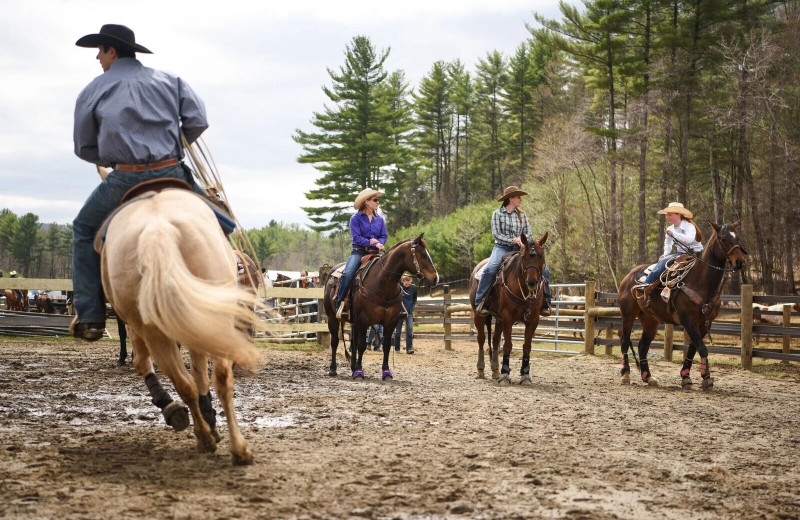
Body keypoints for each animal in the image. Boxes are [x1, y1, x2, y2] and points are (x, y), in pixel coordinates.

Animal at [322, 235, 440, 378]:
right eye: (423, 255)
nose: (435, 278)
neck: (382, 282)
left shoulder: (390, 322)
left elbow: (386, 346)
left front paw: (386, 371)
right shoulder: (363, 320)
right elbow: (362, 345)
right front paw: (359, 372)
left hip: (354, 322)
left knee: (353, 343)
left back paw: (352, 367)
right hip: (332, 316)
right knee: (335, 341)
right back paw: (333, 369)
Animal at [472, 234, 548, 384]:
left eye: (541, 256)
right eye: (523, 257)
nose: (532, 282)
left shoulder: (533, 319)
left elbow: (527, 346)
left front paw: (525, 375)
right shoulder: (507, 317)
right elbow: (508, 345)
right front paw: (505, 374)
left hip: (499, 319)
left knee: (495, 340)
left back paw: (495, 371)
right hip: (479, 315)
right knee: (481, 338)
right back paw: (481, 370)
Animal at [620, 221, 748, 388]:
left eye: (737, 237)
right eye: (723, 238)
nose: (740, 261)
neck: (700, 282)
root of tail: (628, 277)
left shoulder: (705, 323)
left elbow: (694, 349)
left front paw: (687, 376)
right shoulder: (688, 320)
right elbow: (702, 348)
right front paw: (706, 377)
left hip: (650, 320)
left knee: (642, 345)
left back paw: (648, 377)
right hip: (628, 315)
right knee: (624, 341)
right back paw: (625, 374)